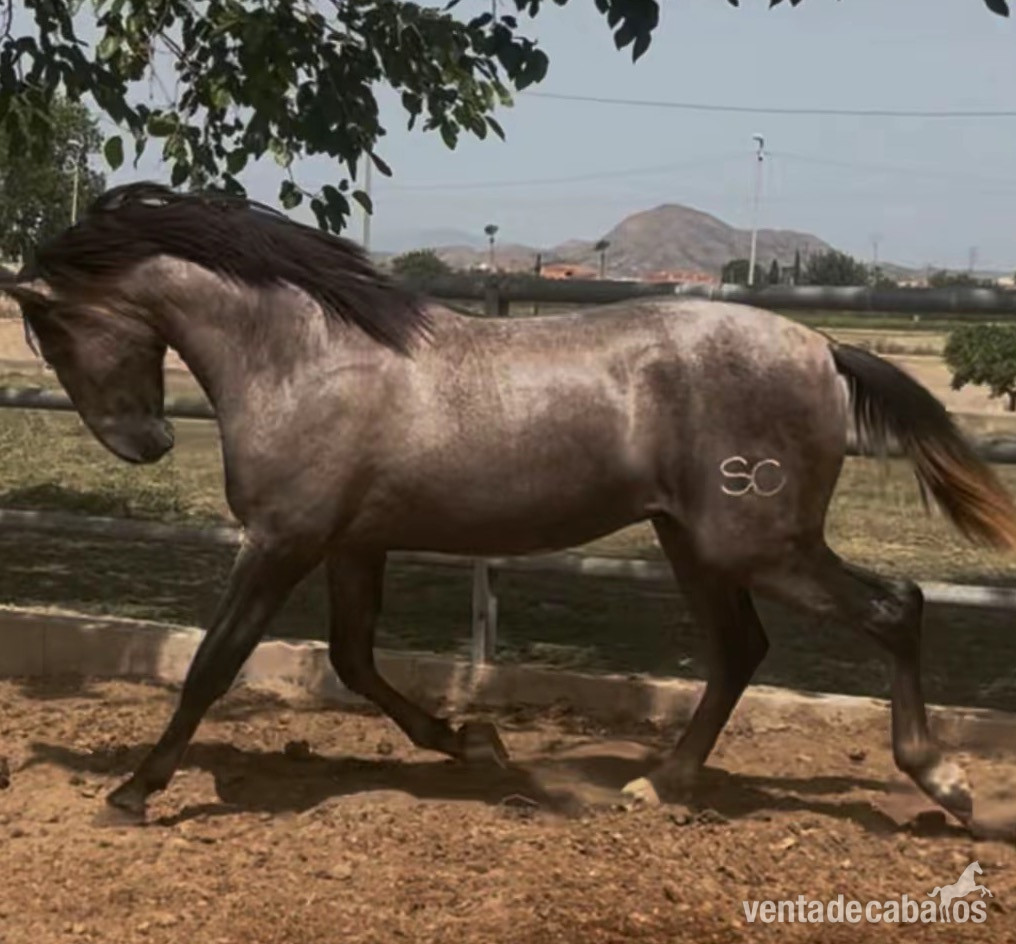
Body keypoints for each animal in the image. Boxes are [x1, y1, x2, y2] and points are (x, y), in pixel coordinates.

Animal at [2, 181, 1015, 829]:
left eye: (49, 326)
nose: (145, 445)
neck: (305, 358)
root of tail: (821, 348)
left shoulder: (283, 540)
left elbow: (215, 663)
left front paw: (133, 792)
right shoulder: (352, 543)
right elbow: (354, 660)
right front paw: (471, 741)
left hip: (757, 542)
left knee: (894, 608)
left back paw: (946, 784)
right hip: (694, 543)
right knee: (741, 651)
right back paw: (660, 787)